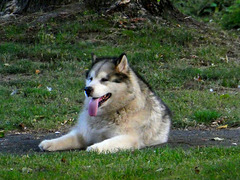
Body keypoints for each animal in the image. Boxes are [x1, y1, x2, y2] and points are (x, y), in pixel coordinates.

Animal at [38, 52, 172, 153]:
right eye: (90, 78)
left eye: (104, 79)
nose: (87, 89)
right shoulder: (84, 134)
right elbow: (66, 138)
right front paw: (50, 142)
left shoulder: (129, 138)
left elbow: (108, 142)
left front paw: (95, 147)